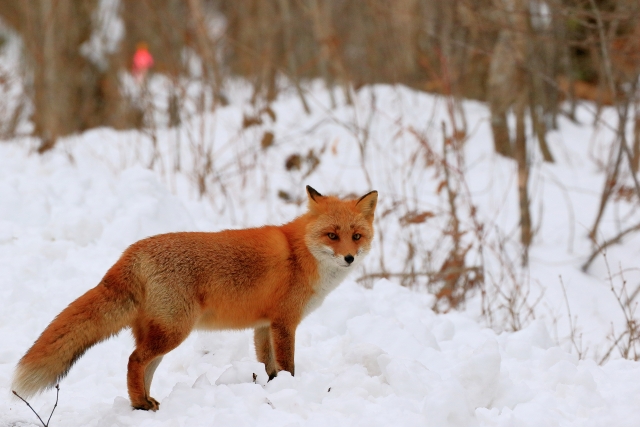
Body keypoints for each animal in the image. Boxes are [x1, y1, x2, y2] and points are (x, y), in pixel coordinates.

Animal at [12, 186, 378, 412]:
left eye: (356, 236)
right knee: (133, 360)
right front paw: (290, 390)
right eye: (332, 235)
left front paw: (273, 390)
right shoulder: (284, 323)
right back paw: (141, 404)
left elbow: (269, 366)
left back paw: (143, 403)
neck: (300, 253)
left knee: (141, 366)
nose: (349, 258)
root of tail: (131, 251)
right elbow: (287, 365)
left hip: (160, 333)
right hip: (174, 331)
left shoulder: (264, 326)